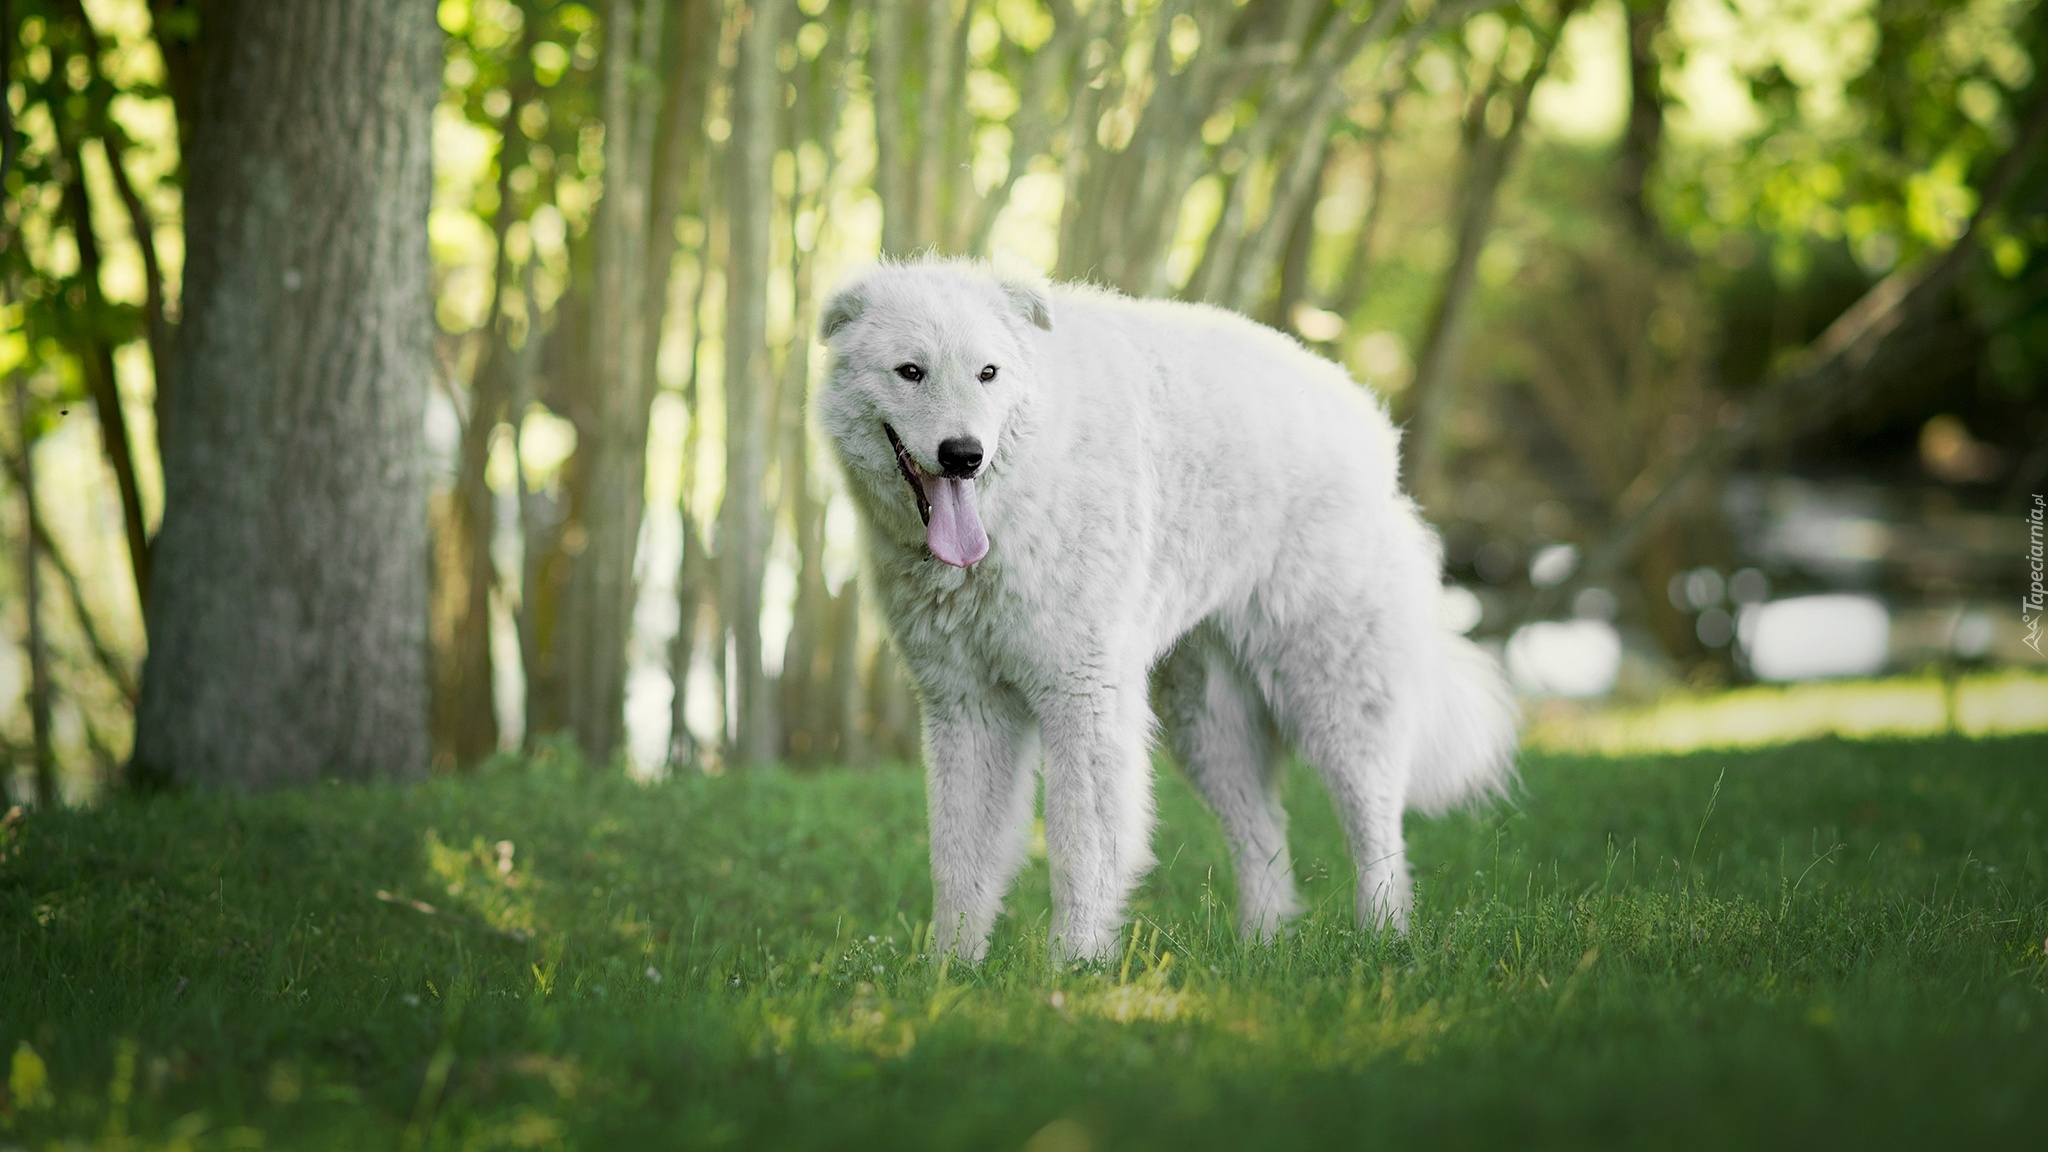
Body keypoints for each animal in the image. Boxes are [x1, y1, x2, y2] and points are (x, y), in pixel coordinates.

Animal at [806, 258, 1515, 959]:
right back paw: (1259, 952)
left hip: (1333, 690)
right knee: (1263, 835)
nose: (964, 455)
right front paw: (951, 972)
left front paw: (1073, 968)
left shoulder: (1083, 696)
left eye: (988, 373)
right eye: (911, 371)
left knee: (1377, 826)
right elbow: (960, 858)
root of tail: (1370, 423)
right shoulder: (967, 706)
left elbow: (1080, 849)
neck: (1030, 484)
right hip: (1207, 721)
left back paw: (1383, 939)